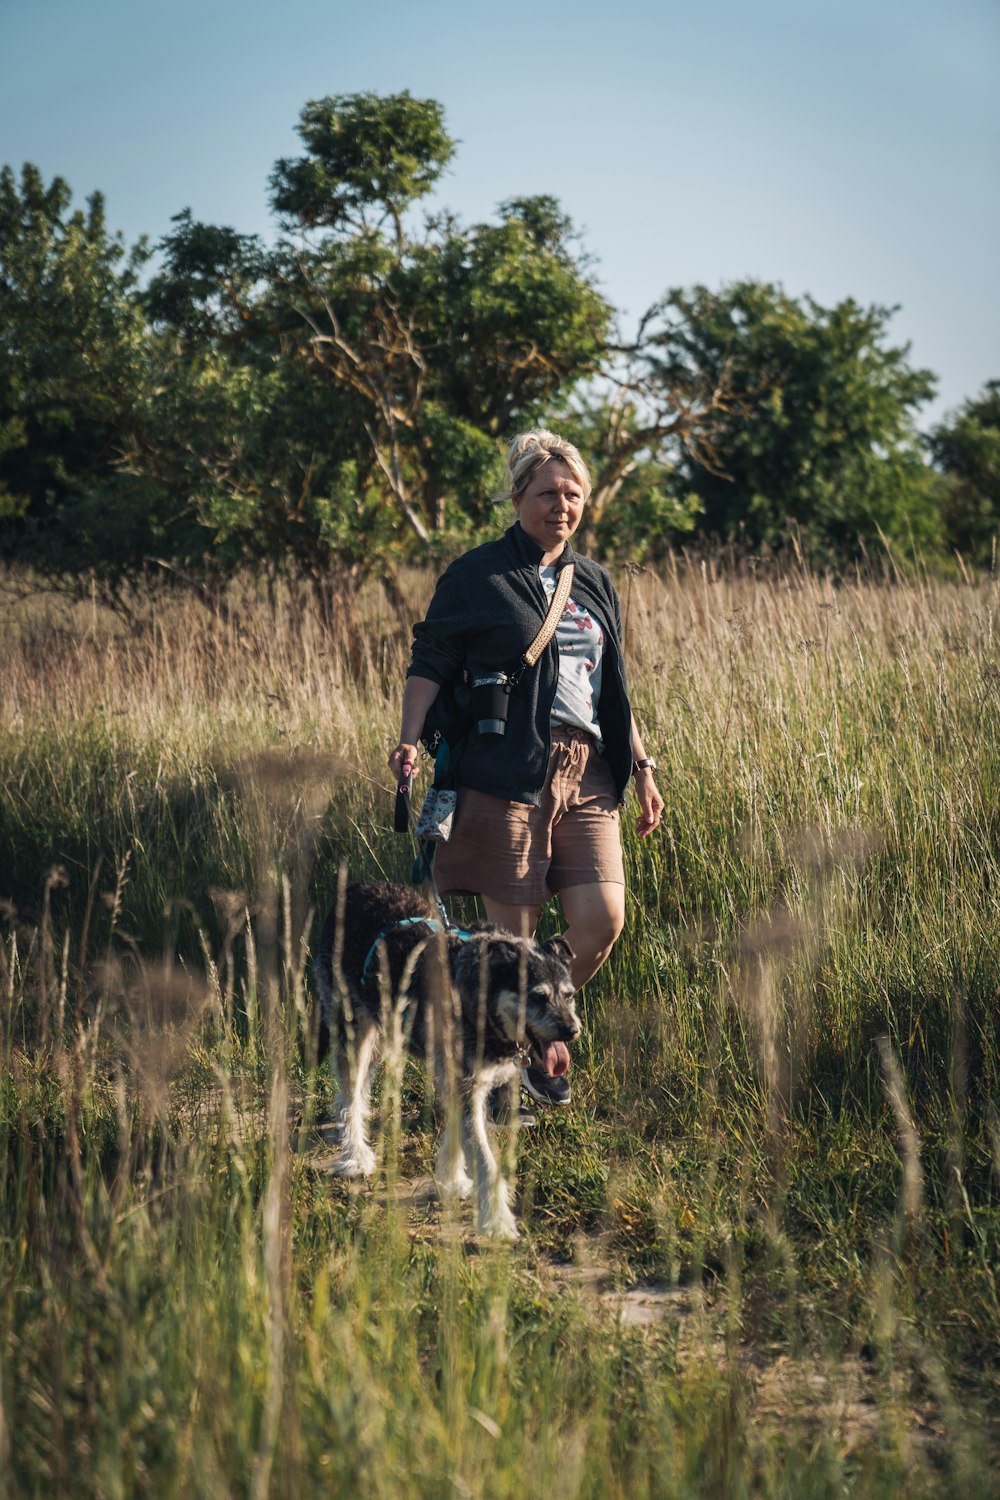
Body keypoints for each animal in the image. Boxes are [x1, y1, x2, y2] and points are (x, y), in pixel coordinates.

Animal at [310, 876, 578, 1242]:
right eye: (537, 997)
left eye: (569, 995)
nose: (571, 1030)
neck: (477, 994)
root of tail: (355, 888)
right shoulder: (464, 1085)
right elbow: (485, 1160)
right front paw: (497, 1223)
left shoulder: (462, 1081)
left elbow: (457, 1137)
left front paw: (452, 1181)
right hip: (355, 1034)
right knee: (351, 1094)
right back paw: (356, 1157)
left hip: (384, 1035)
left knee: (353, 1093)